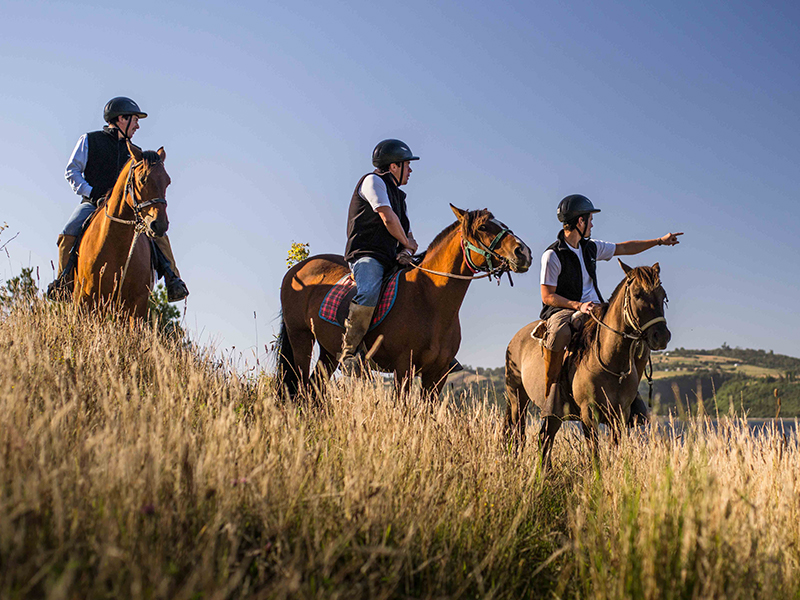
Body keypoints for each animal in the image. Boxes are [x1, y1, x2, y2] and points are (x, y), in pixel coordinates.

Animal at [74, 142, 170, 318]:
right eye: (142, 179)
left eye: (168, 181)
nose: (159, 225)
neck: (117, 243)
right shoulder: (88, 297)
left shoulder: (137, 304)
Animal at [278, 205, 536, 398]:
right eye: (483, 227)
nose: (523, 252)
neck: (429, 298)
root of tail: (297, 270)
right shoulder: (403, 368)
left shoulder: (437, 375)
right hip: (301, 339)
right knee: (301, 386)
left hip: (329, 353)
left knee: (314, 388)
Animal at [506, 260, 668, 466]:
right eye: (637, 295)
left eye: (663, 295)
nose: (662, 337)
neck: (611, 362)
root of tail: (515, 339)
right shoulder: (589, 415)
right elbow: (595, 455)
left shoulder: (619, 415)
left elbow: (613, 452)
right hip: (517, 399)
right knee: (518, 435)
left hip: (553, 414)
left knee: (545, 437)